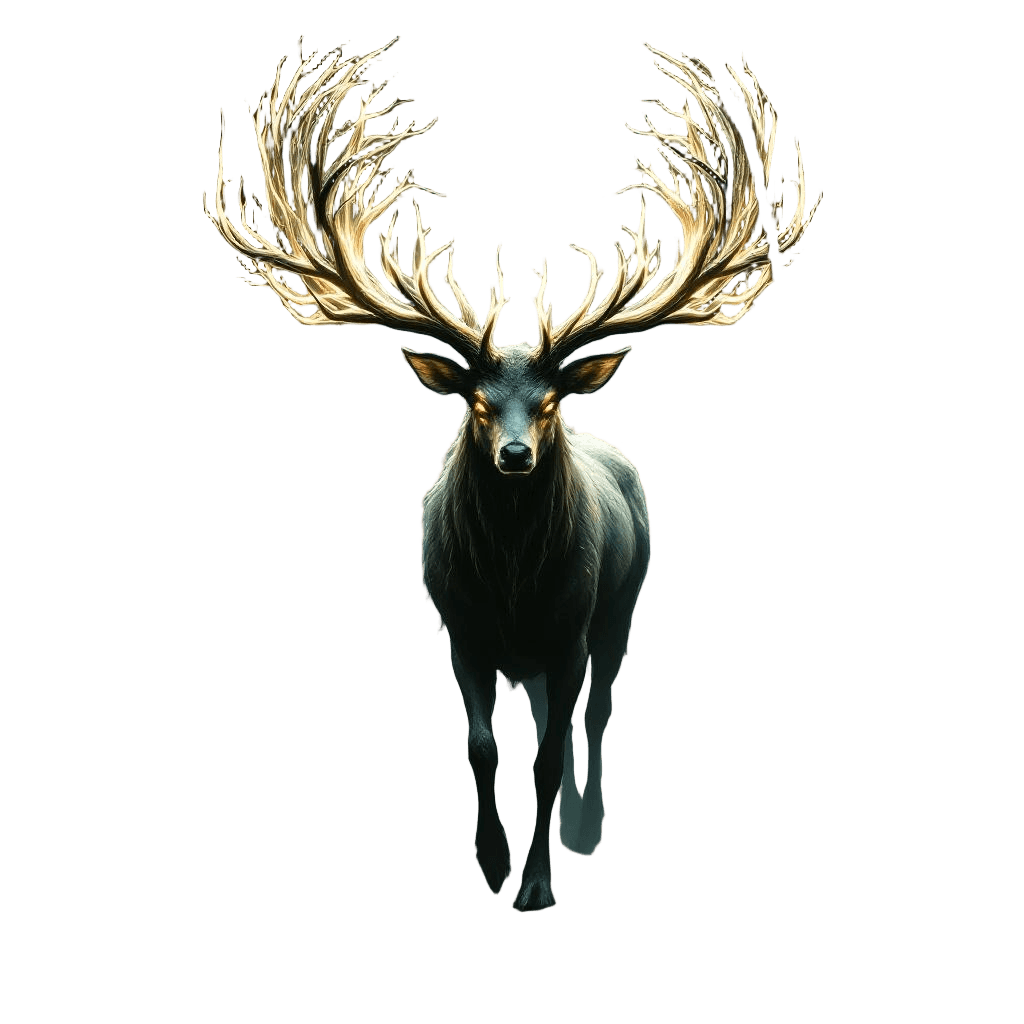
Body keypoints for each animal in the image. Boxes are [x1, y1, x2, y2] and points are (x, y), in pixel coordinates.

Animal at [202, 33, 822, 911]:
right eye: (478, 402)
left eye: (551, 399)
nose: (517, 455)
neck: (511, 581)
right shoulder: (459, 628)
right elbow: (484, 748)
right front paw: (491, 862)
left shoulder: (569, 632)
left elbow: (550, 754)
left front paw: (537, 880)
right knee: (537, 715)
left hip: (621, 607)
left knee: (598, 713)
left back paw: (585, 825)